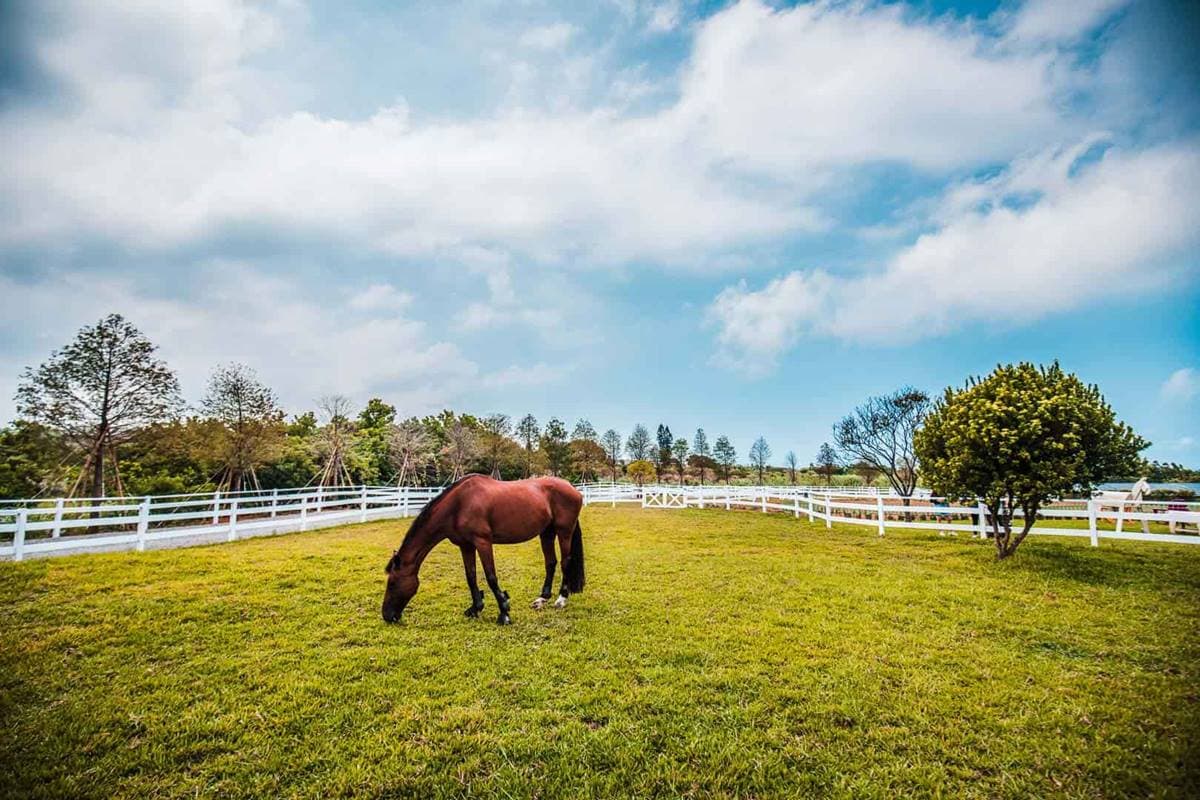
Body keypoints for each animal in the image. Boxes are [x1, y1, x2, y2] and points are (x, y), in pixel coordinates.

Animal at [381, 474, 585, 625]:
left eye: (392, 583)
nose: (387, 616)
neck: (459, 505)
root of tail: (572, 488)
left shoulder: (483, 542)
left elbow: (491, 577)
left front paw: (504, 612)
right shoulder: (466, 545)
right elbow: (470, 576)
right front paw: (475, 608)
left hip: (564, 532)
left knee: (566, 562)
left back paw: (561, 599)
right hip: (546, 533)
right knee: (550, 563)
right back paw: (542, 599)